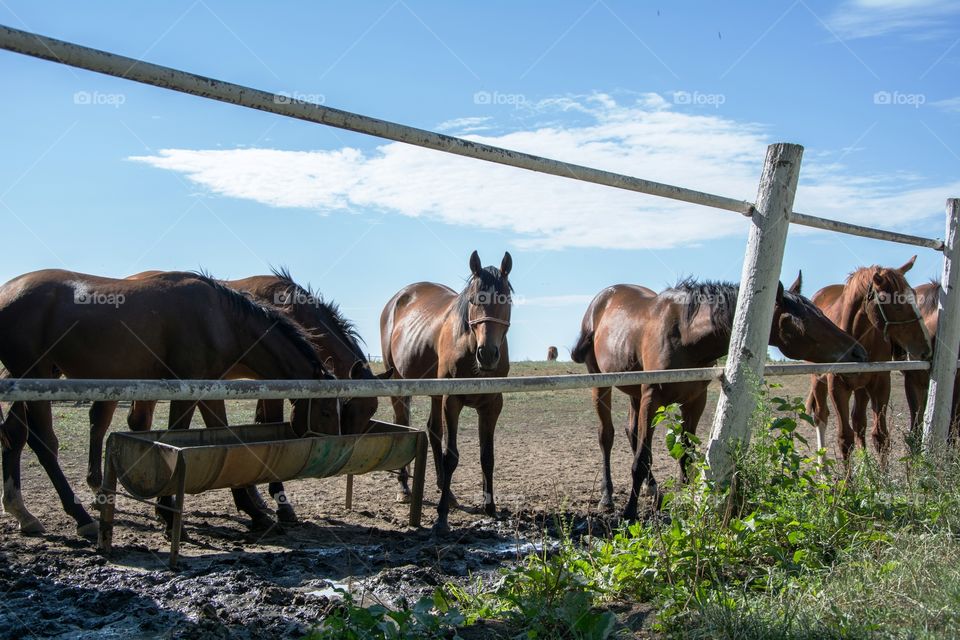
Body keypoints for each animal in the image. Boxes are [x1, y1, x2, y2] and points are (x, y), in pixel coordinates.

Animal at [0, 268, 340, 536]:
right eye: (325, 409)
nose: (332, 450)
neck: (219, 319)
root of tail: (6, 292)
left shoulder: (209, 387)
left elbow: (224, 434)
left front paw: (253, 510)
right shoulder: (186, 386)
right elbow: (177, 438)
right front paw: (167, 514)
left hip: (36, 381)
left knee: (14, 435)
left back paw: (22, 513)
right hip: (34, 375)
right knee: (44, 443)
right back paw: (80, 517)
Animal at [84, 268, 388, 524]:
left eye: (371, 410)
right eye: (348, 407)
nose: (346, 449)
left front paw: (256, 496)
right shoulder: (271, 383)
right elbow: (268, 425)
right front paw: (279, 503)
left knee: (136, 421)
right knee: (101, 420)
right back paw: (99, 491)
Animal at [378, 252, 510, 532]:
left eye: (506, 299)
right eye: (474, 299)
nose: (487, 354)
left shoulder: (492, 404)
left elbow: (487, 456)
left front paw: (490, 507)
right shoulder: (453, 401)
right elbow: (452, 456)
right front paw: (441, 516)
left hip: (435, 393)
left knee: (433, 429)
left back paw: (446, 491)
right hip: (399, 382)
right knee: (403, 423)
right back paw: (404, 487)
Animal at [572, 274, 868, 520]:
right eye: (806, 320)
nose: (859, 352)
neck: (685, 334)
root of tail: (601, 300)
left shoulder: (694, 401)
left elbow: (685, 456)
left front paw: (686, 502)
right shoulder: (651, 399)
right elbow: (641, 460)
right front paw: (630, 513)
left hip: (634, 392)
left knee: (631, 432)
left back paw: (653, 490)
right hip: (601, 384)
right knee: (607, 436)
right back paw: (607, 497)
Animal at [808, 256, 932, 464]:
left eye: (914, 295)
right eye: (897, 305)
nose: (925, 348)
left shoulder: (879, 383)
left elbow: (880, 436)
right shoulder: (837, 387)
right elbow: (845, 438)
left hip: (861, 388)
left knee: (859, 422)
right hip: (818, 381)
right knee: (821, 417)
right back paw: (823, 467)